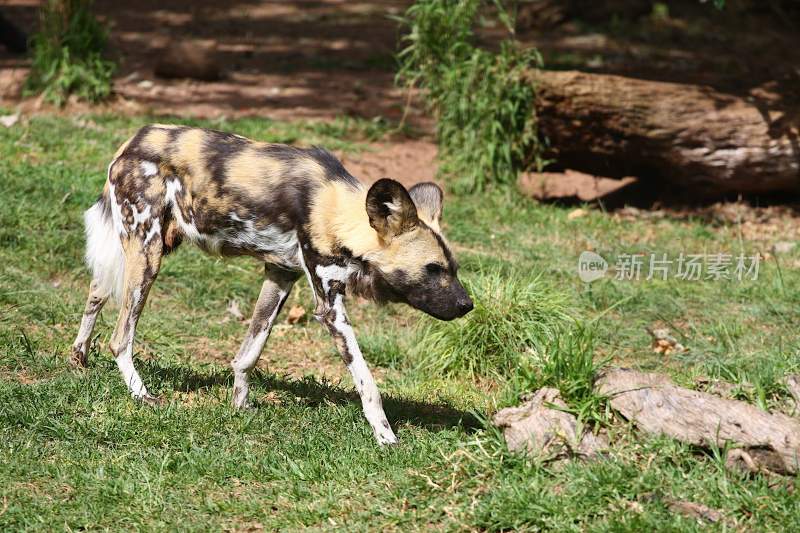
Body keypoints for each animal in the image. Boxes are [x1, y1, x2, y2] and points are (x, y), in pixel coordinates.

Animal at [72, 123, 472, 444]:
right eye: (433, 269)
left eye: (453, 268)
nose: (468, 305)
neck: (336, 212)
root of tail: (133, 141)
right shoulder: (329, 307)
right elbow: (366, 381)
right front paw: (385, 436)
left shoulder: (281, 274)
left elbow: (248, 354)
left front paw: (239, 406)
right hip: (148, 254)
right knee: (121, 337)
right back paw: (142, 395)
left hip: (145, 250)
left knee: (96, 291)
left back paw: (79, 359)